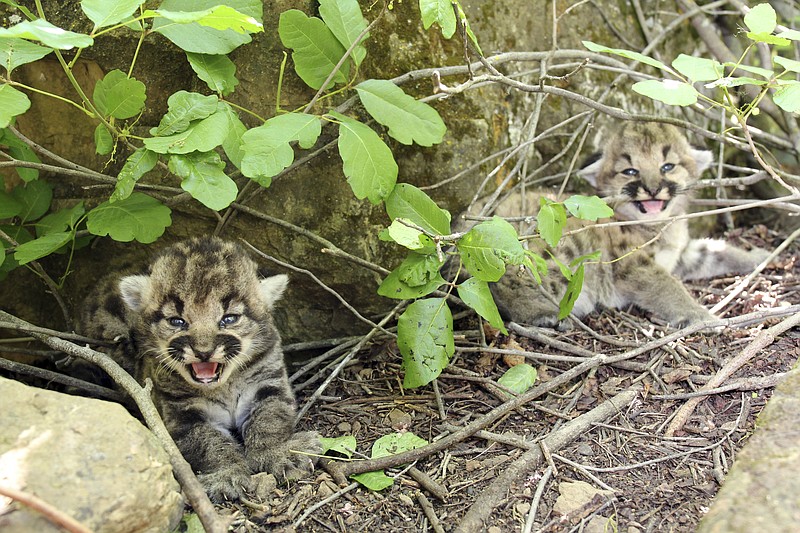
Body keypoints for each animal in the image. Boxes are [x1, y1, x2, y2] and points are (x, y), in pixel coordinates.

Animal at [81, 236, 318, 498]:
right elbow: (210, 443)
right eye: (177, 321)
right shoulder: (183, 414)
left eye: (229, 318)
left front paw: (279, 453)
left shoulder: (268, 383)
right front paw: (226, 474)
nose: (203, 351)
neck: (223, 387)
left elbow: (271, 419)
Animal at [488, 121, 768, 328]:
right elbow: (669, 287)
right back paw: (542, 313)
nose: (653, 189)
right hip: (555, 245)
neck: (661, 227)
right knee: (505, 281)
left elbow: (716, 250)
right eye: (630, 171)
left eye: (667, 167)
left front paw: (758, 257)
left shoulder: (680, 255)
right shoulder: (633, 265)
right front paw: (702, 316)